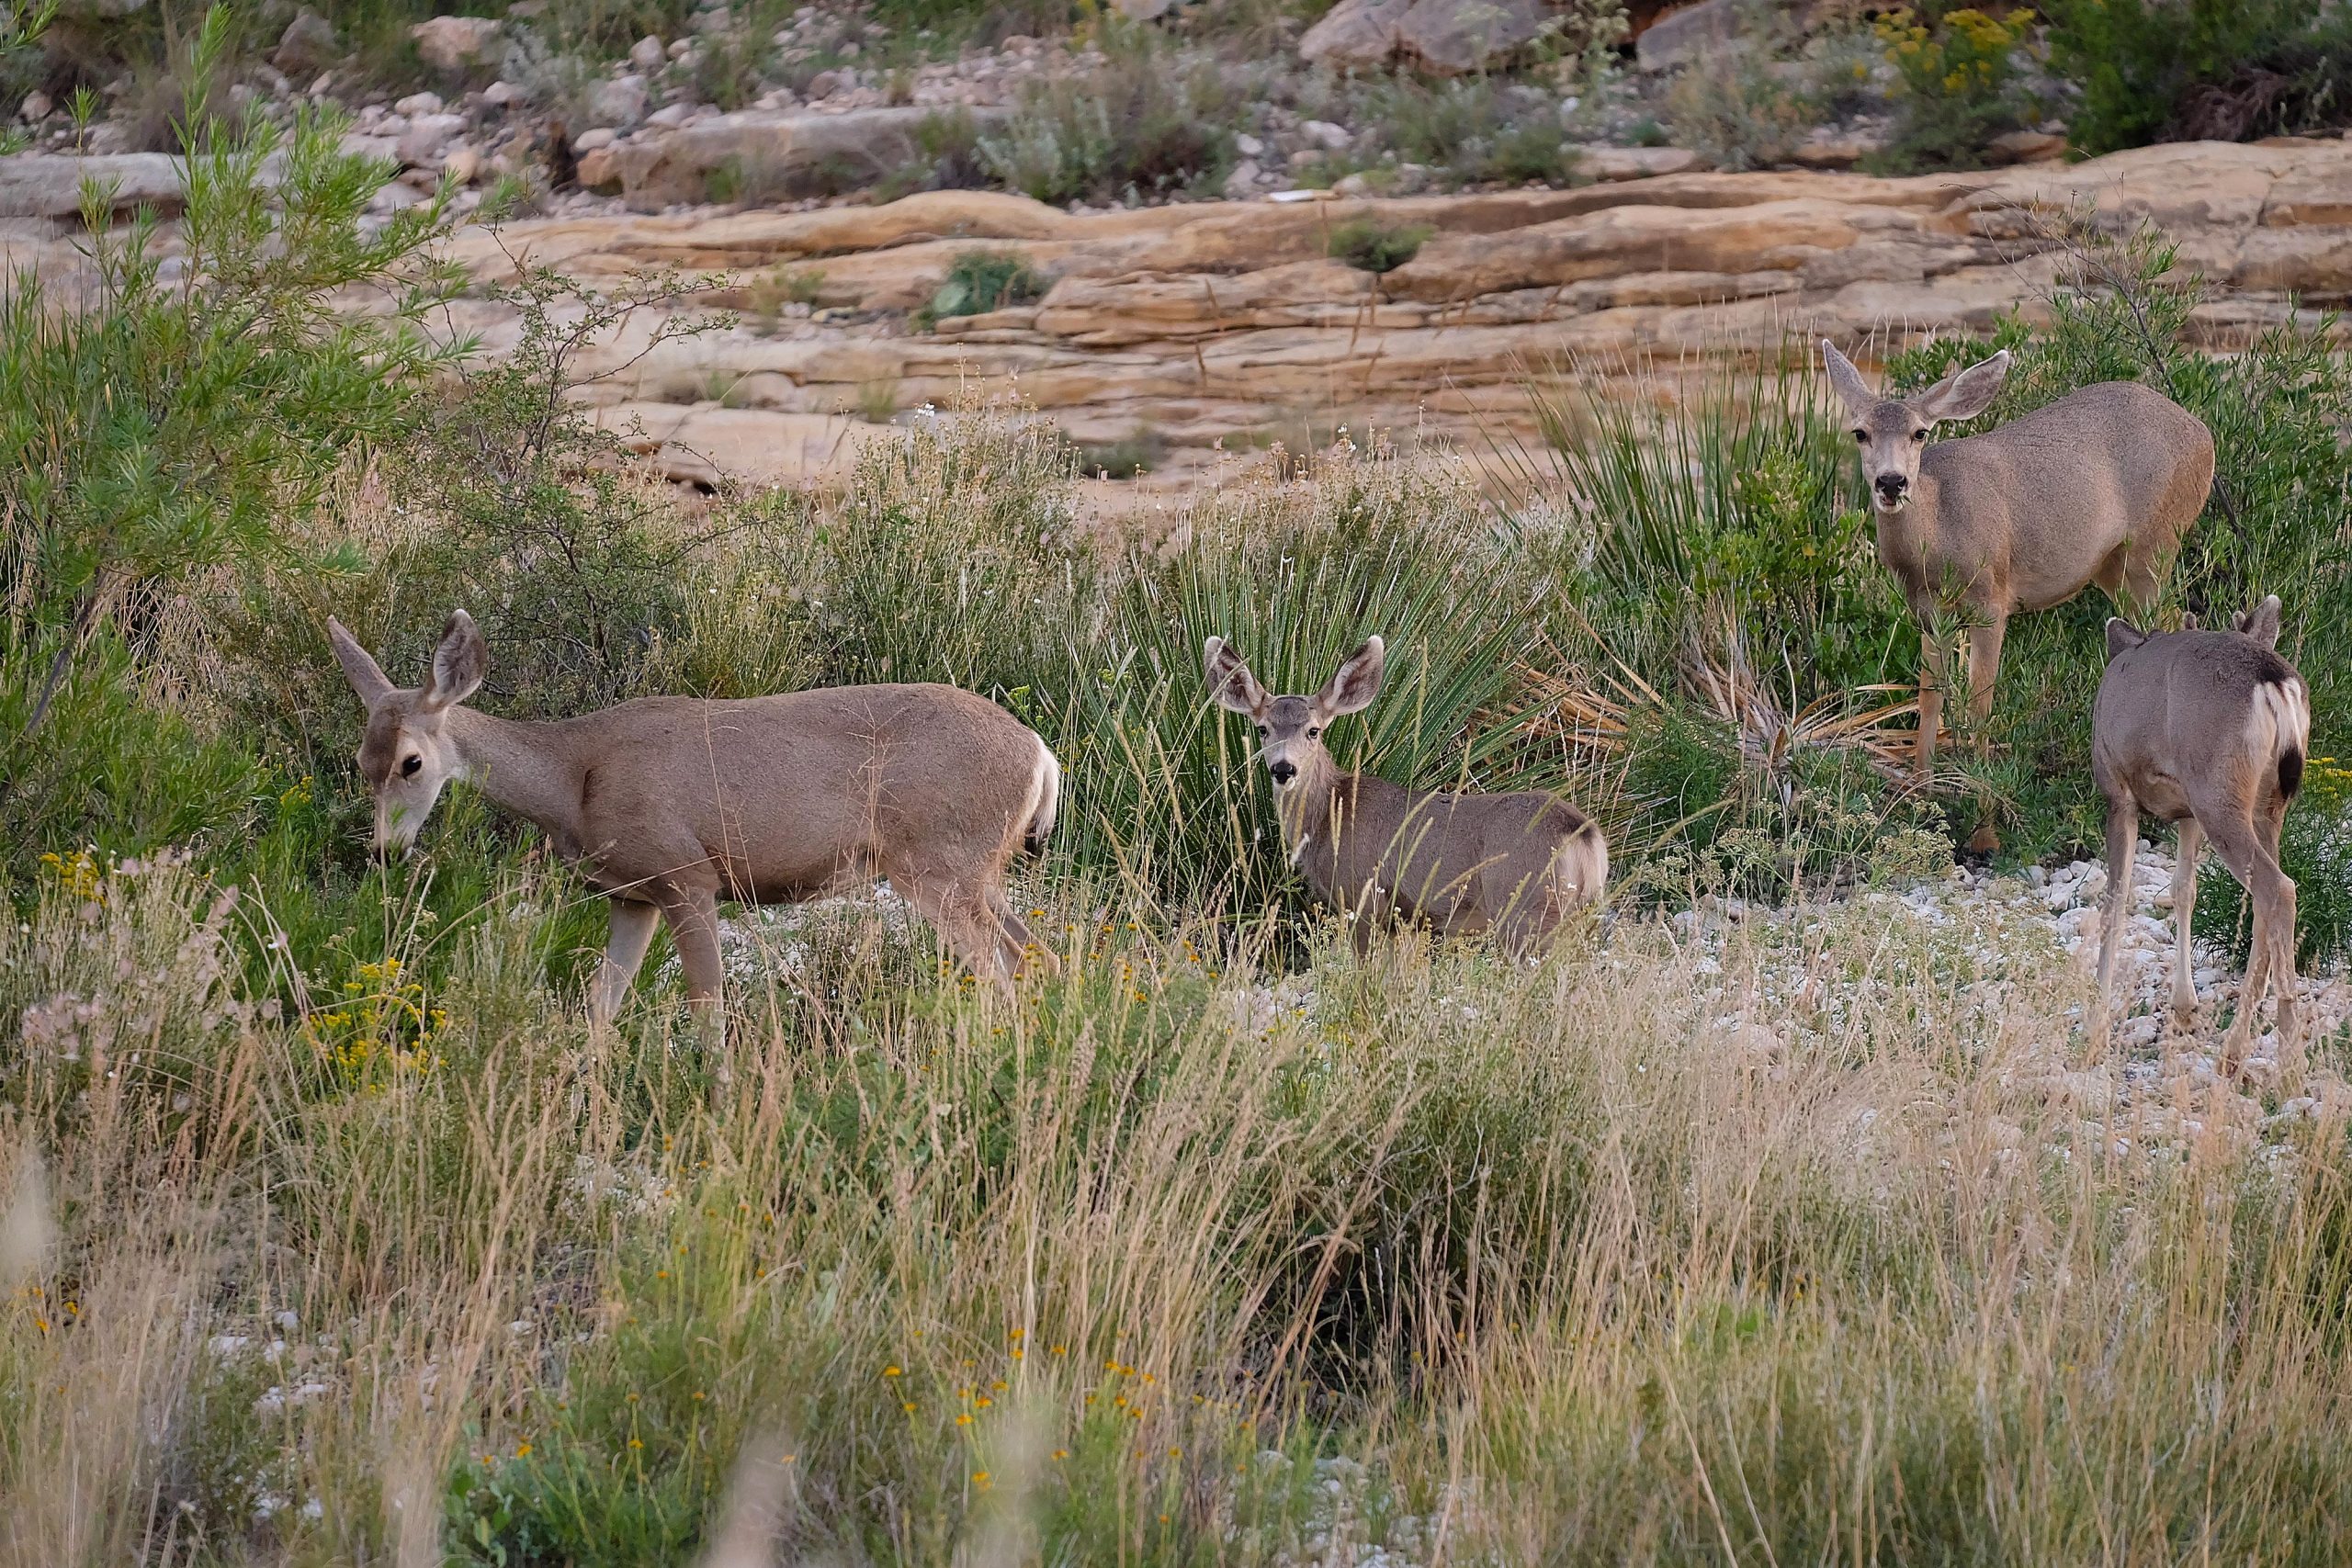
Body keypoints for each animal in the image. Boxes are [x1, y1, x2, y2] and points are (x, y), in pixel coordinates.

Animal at [327, 610, 1062, 1025]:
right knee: (1038, 955)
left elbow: (707, 1010)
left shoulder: (688, 876)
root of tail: (1042, 754)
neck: (574, 777)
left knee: (999, 974)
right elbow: (599, 1010)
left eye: (411, 763)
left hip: (937, 864)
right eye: (360, 761)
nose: (384, 851)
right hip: (978, 873)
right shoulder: (631, 895)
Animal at [1203, 635, 1607, 956]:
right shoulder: (1403, 922)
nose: (1283, 769)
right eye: (1262, 729)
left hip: (1523, 906)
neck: (1329, 816)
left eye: (1313, 730)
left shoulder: (1361, 897)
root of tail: (1583, 834)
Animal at [1820, 341, 2215, 822]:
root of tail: (2204, 433)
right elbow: (1929, 694)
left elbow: (1980, 700)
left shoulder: (1991, 599)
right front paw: (1919, 790)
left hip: (2155, 543)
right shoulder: (1926, 610)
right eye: (1860, 432)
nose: (1892, 482)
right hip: (2113, 567)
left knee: (2174, 619)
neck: (1937, 535)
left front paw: (1982, 802)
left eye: (1919, 433)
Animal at [2089, 595, 2308, 1072]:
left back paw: (2287, 1061)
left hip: (2217, 794)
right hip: (2263, 806)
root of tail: (2275, 681)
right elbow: (2183, 889)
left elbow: (2115, 901)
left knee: (2279, 889)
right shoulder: (2186, 811)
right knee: (2263, 900)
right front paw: (2185, 1009)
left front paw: (2096, 1023)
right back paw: (2234, 1048)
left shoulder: (2118, 792)